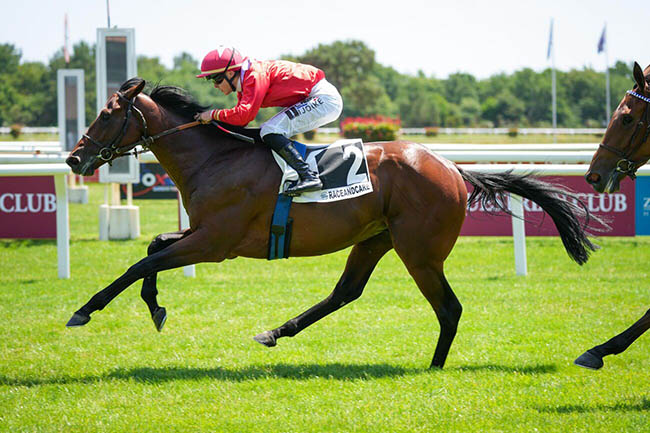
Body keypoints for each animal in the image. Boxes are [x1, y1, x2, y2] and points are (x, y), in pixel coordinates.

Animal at [65, 77, 599, 369]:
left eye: (107, 115)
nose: (73, 159)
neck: (214, 158)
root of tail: (453, 168)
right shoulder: (202, 235)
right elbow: (153, 247)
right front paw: (155, 306)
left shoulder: (216, 242)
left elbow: (139, 263)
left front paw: (86, 309)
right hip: (375, 240)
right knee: (346, 292)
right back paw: (275, 332)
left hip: (420, 252)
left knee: (449, 309)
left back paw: (433, 367)